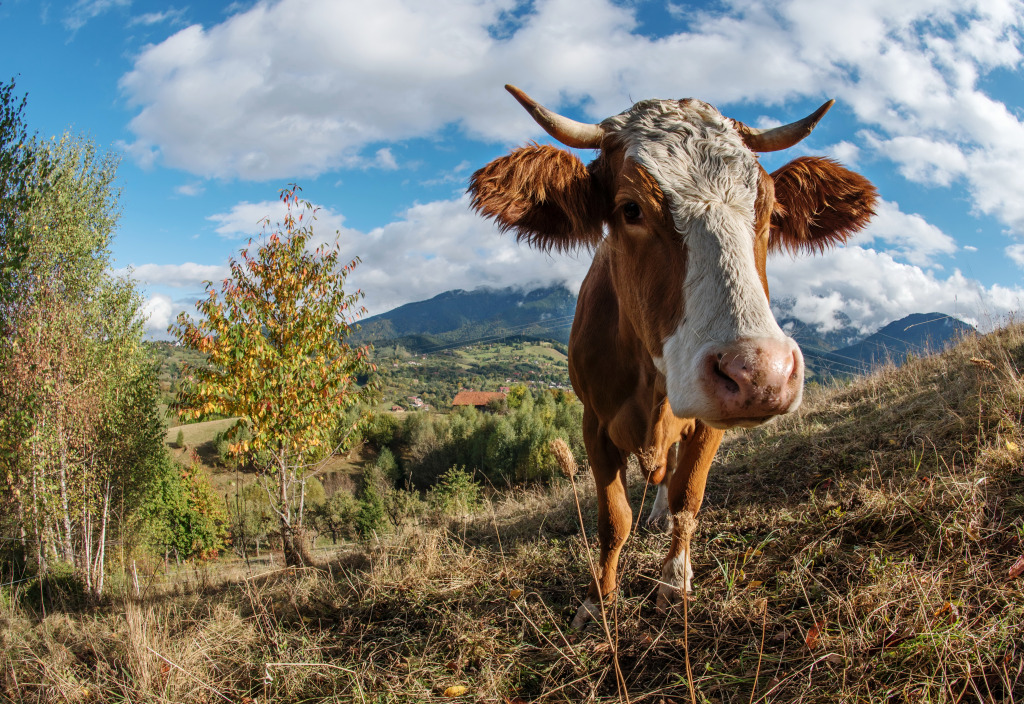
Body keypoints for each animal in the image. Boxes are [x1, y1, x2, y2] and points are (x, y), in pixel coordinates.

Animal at [468, 83, 876, 626]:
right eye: (630, 209)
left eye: (769, 212)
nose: (761, 373)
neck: (652, 379)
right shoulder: (593, 421)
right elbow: (613, 518)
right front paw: (598, 600)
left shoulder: (709, 421)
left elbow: (688, 496)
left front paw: (673, 581)